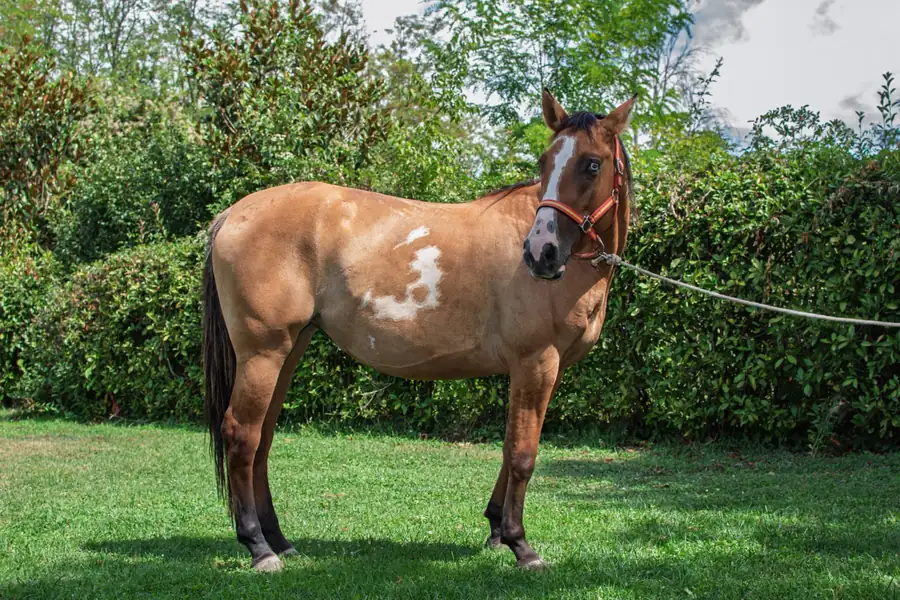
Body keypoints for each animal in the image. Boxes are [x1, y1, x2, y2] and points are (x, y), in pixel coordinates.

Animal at [202, 89, 636, 572]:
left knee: (263, 438)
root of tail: (233, 214)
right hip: (263, 353)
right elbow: (523, 454)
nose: (540, 252)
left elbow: (509, 449)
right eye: (545, 162)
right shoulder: (535, 362)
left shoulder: (544, 370)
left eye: (592, 164)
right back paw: (258, 547)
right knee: (242, 436)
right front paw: (521, 544)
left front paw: (496, 530)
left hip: (289, 350)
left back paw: (279, 541)